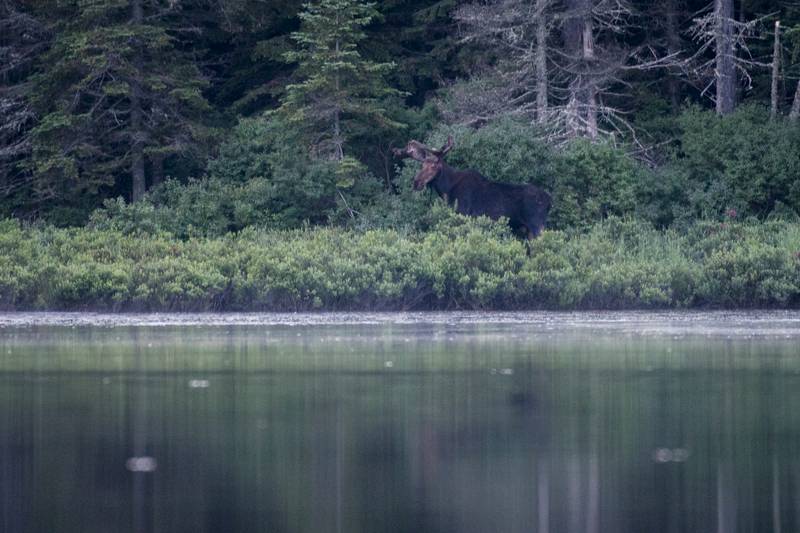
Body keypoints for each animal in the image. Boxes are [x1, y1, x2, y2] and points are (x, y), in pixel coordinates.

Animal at [392, 136, 552, 238]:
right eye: (422, 165)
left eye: (434, 165)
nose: (416, 182)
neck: (447, 190)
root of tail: (550, 201)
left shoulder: (464, 215)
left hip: (537, 225)